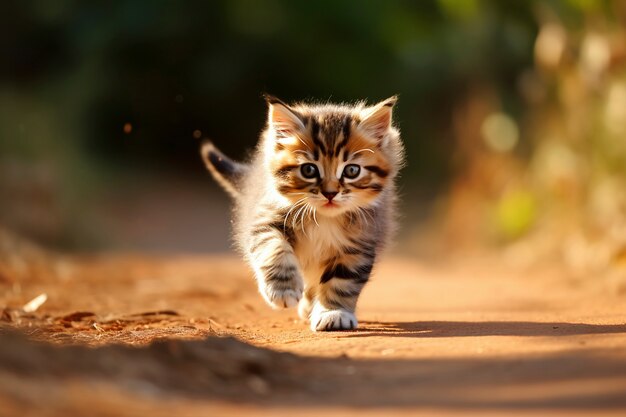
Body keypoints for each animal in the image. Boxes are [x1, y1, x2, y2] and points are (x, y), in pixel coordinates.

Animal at [201, 96, 404, 330]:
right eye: (309, 170)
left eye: (352, 171)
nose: (330, 193)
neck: (324, 218)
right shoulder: (265, 219)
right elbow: (274, 248)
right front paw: (283, 289)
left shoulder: (360, 243)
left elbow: (342, 281)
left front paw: (333, 312)